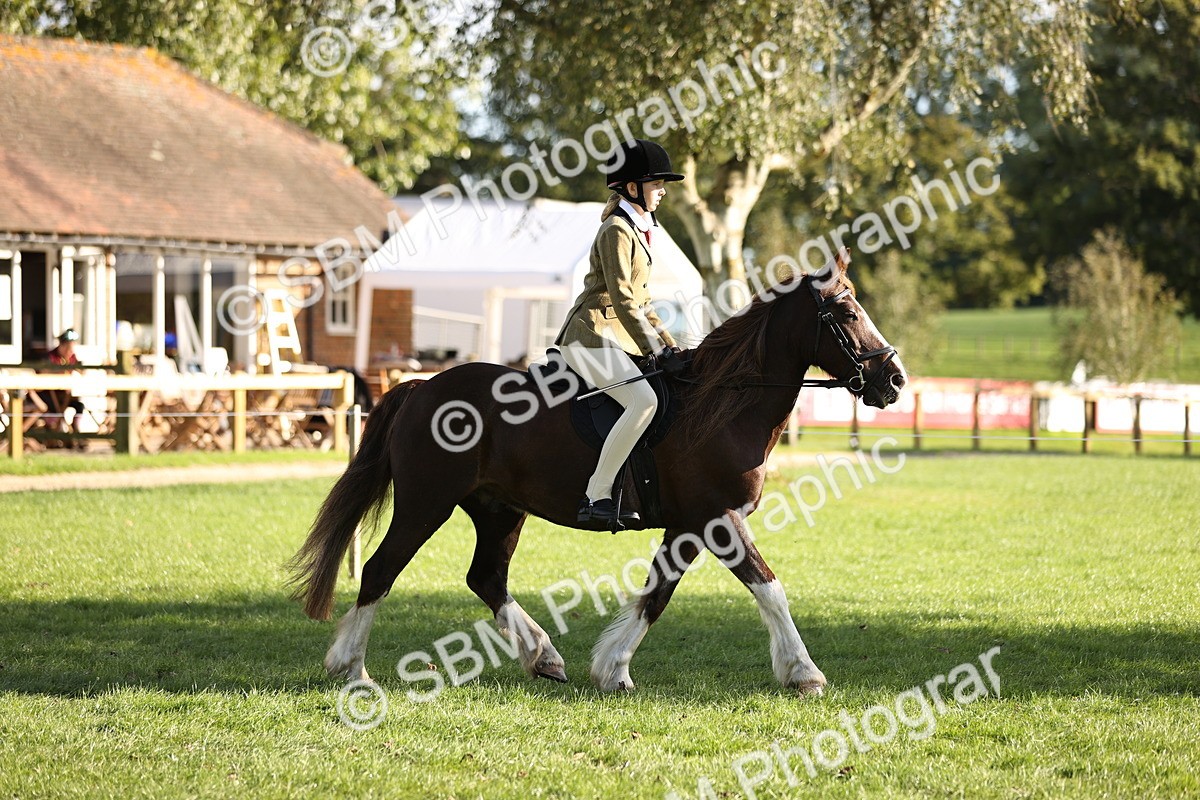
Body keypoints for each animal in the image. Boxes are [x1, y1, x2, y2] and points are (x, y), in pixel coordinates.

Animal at [289, 248, 907, 695]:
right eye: (848, 313)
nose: (895, 381)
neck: (724, 404)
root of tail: (420, 388)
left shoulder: (688, 526)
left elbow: (657, 594)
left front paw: (612, 668)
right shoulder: (718, 518)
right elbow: (768, 588)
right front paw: (804, 674)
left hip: (498, 509)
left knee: (487, 578)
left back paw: (544, 658)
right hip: (426, 502)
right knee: (380, 571)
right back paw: (352, 669)